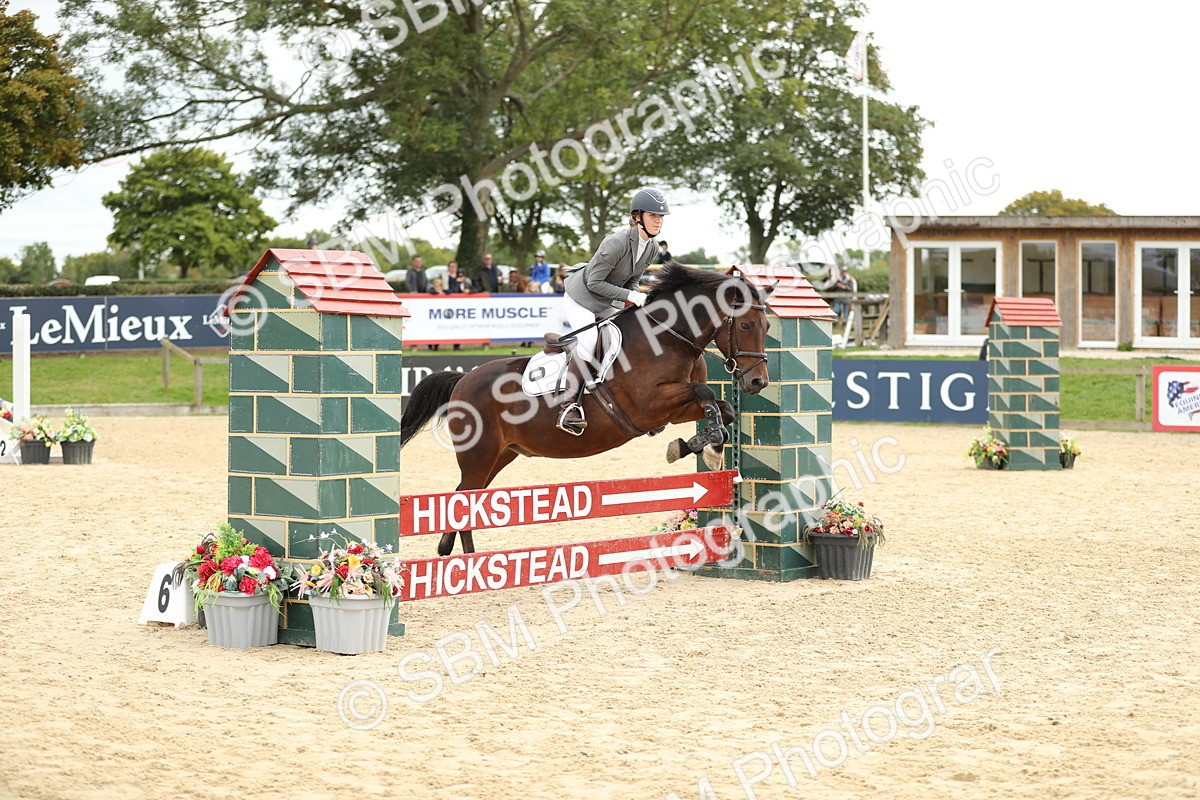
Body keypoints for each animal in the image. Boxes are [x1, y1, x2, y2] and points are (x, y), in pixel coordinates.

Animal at [399, 263, 773, 555]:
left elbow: (721, 407)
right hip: (480, 453)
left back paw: (455, 555)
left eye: (767, 327)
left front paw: (699, 446)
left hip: (501, 454)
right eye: (744, 325)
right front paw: (701, 447)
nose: (757, 382)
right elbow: (705, 391)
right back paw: (466, 562)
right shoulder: (648, 405)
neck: (669, 337)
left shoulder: (673, 410)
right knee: (463, 499)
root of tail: (462, 380)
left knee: (464, 497)